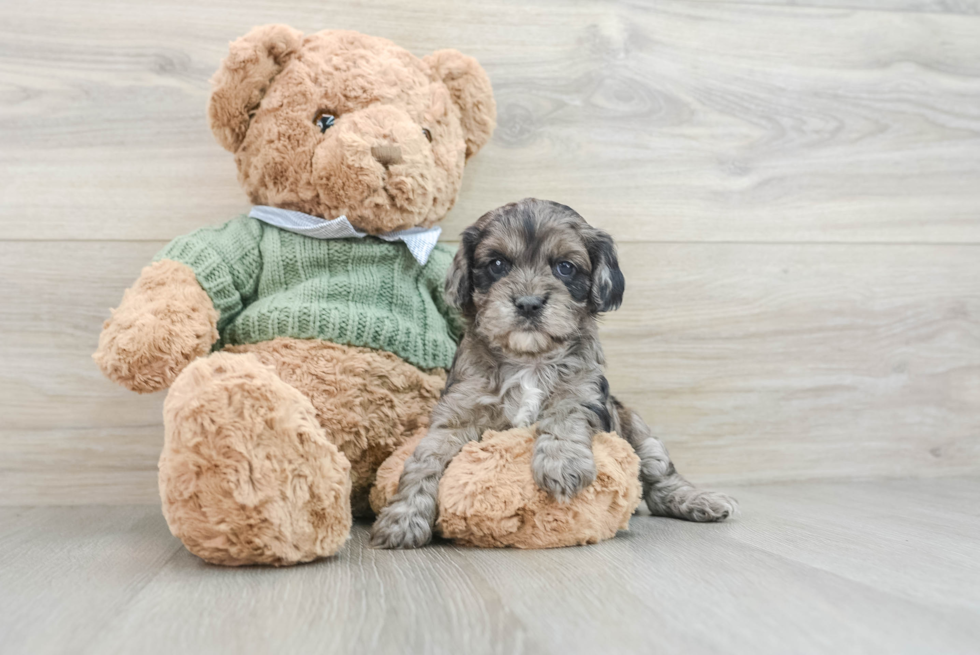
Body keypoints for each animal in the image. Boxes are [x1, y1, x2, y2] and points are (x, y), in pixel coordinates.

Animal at [372, 199, 740, 548]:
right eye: (497, 265)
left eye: (565, 267)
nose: (529, 303)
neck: (529, 360)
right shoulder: (458, 413)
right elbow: (424, 460)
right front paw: (403, 518)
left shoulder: (585, 393)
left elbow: (564, 414)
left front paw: (562, 466)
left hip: (637, 427)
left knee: (660, 478)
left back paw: (700, 501)